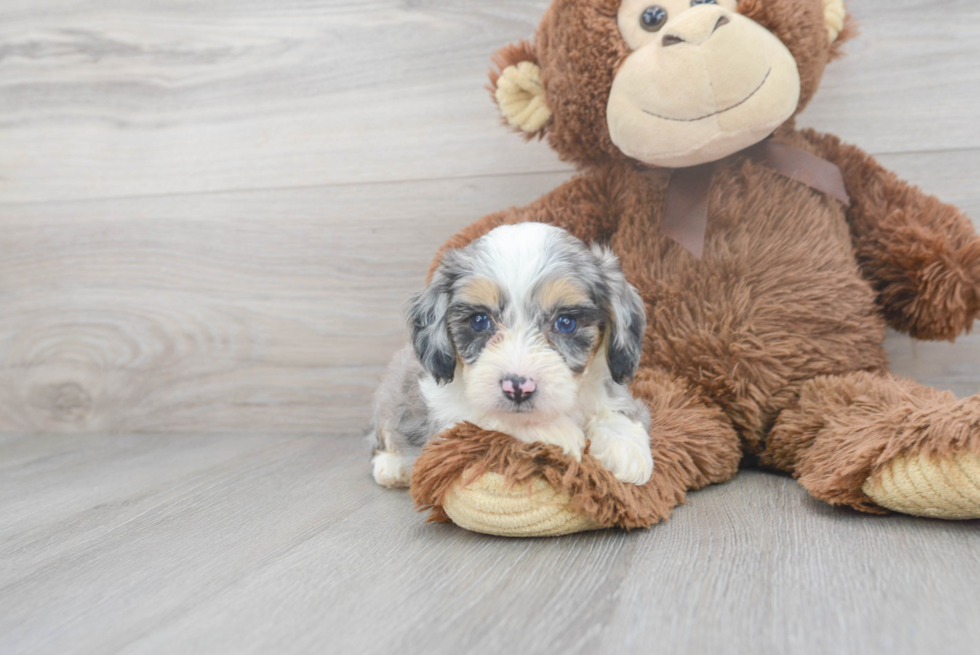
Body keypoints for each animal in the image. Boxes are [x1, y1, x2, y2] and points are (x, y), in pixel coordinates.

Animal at [372, 223, 656, 490]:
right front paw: (554, 431)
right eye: (479, 321)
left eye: (566, 322)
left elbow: (615, 406)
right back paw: (392, 467)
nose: (518, 388)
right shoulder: (446, 420)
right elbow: (489, 419)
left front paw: (624, 445)